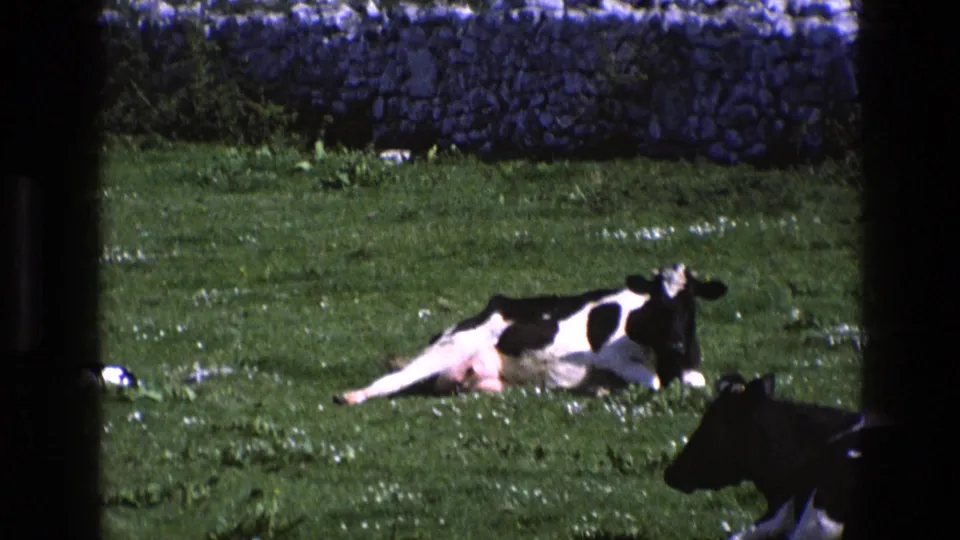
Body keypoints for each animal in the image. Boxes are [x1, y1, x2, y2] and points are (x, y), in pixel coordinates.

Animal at [333, 263, 728, 405]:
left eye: (690, 302)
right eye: (658, 301)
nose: (677, 342)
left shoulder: (691, 365)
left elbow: (695, 382)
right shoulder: (608, 354)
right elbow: (653, 382)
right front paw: (602, 387)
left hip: (485, 382)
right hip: (452, 346)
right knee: (395, 378)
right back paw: (351, 396)